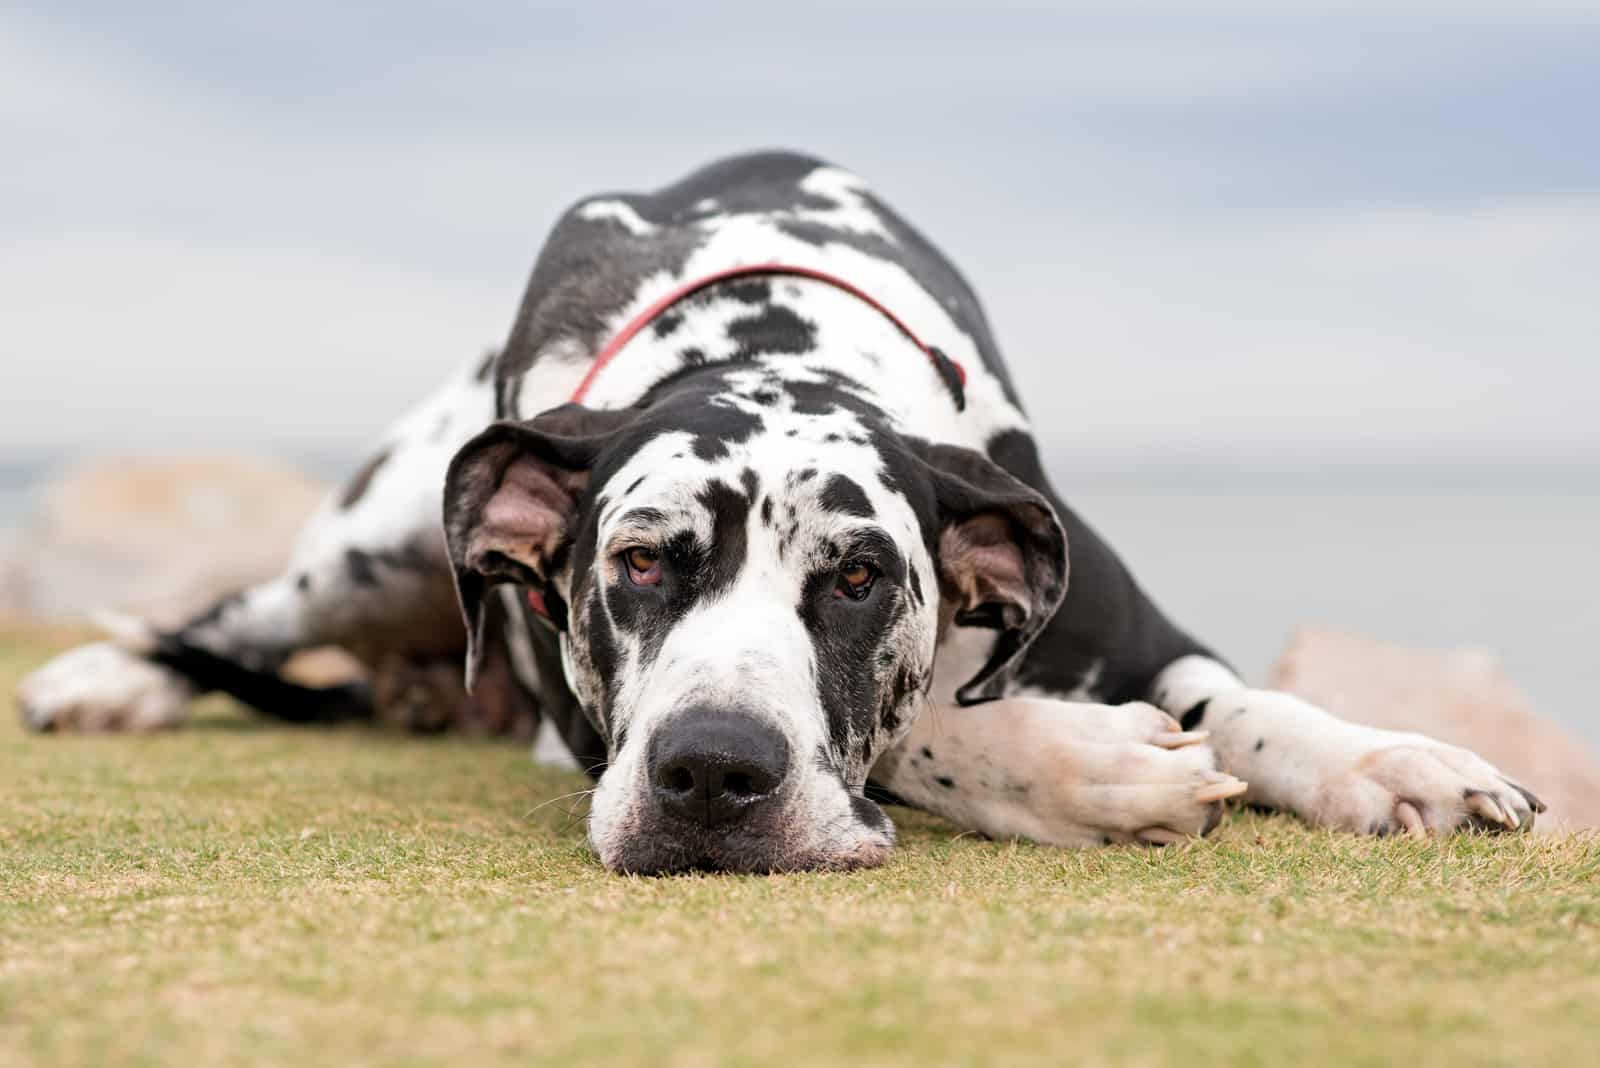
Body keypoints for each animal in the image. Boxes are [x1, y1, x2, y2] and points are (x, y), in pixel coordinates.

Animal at [15, 147, 1536, 869]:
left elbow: (1253, 706)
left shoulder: (1126, 615)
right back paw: (107, 679)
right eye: (637, 566)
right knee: (238, 612)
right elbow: (920, 731)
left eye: (861, 578)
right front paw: (1084, 767)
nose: (710, 778)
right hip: (375, 539)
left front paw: (1390, 762)